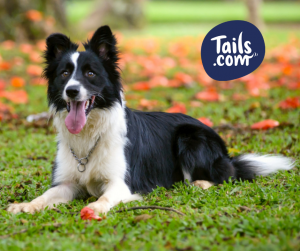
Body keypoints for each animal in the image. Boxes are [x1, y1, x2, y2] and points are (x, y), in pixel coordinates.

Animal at [8, 25, 294, 214]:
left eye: (90, 73)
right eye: (65, 74)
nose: (72, 91)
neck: (90, 134)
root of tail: (224, 151)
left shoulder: (121, 183)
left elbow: (103, 199)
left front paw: (95, 209)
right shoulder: (67, 182)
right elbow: (45, 195)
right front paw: (25, 205)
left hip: (190, 137)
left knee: (224, 176)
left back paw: (199, 183)